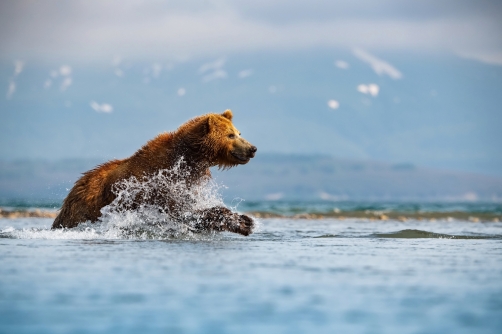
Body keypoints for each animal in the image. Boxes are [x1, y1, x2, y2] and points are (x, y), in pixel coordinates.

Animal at [52, 109, 256, 235]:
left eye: (239, 132)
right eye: (230, 135)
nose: (252, 148)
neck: (188, 159)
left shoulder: (188, 180)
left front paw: (246, 221)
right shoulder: (160, 181)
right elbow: (182, 209)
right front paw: (242, 222)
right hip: (86, 207)